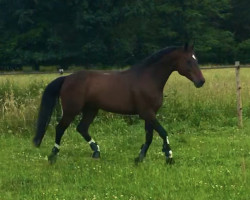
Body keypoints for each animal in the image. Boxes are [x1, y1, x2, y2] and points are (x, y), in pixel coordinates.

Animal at [33, 43, 205, 164]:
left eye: (196, 59)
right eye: (188, 61)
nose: (201, 82)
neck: (148, 78)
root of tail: (67, 78)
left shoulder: (150, 114)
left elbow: (149, 136)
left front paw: (139, 158)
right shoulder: (147, 113)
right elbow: (163, 132)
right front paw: (169, 156)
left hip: (91, 109)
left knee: (82, 128)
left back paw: (96, 152)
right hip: (71, 110)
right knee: (60, 128)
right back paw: (53, 155)